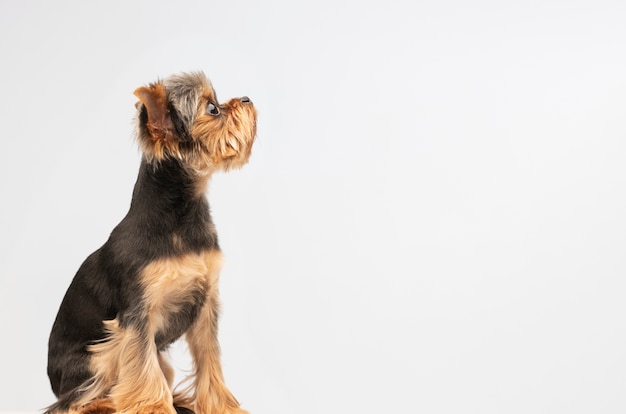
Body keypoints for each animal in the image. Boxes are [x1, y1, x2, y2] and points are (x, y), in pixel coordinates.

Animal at [45, 72, 256, 414]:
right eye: (212, 109)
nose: (247, 99)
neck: (179, 217)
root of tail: (54, 383)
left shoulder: (205, 306)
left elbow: (210, 359)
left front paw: (223, 406)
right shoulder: (139, 312)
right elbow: (142, 369)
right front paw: (155, 407)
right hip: (96, 357)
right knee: (74, 402)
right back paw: (104, 404)